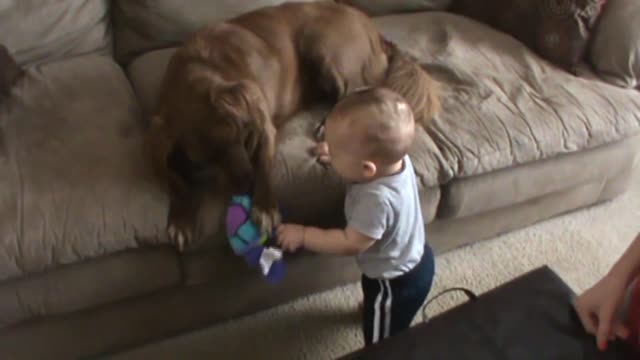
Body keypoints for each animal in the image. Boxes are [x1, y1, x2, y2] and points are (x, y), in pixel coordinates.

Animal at [148, 1, 440, 250]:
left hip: (319, 41)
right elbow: (173, 178)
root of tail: (374, 29)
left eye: (242, 138)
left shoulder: (262, 125)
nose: (246, 184)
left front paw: (265, 206)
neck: (200, 68)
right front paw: (181, 218)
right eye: (204, 161)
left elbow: (263, 165)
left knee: (356, 90)